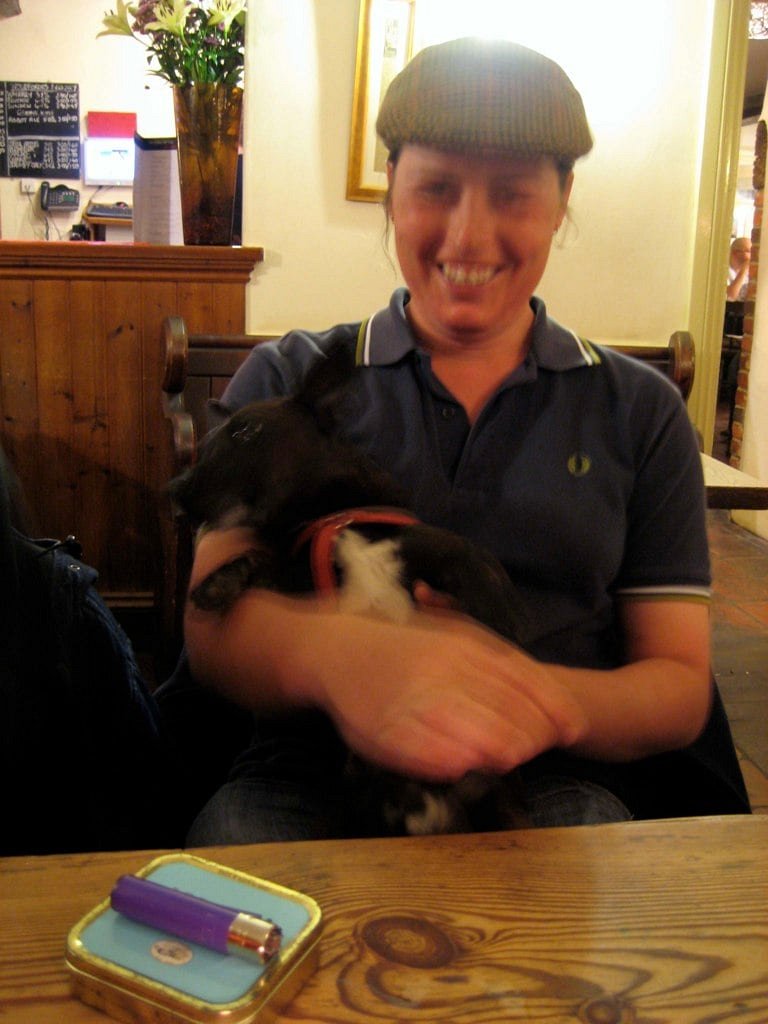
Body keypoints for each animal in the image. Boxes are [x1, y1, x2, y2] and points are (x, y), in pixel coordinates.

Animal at [170, 342, 531, 835]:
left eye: (246, 431)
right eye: (204, 445)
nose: (174, 491)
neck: (334, 518)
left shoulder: (425, 546)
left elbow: (474, 561)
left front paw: (505, 631)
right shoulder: (301, 578)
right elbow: (259, 562)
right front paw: (217, 582)